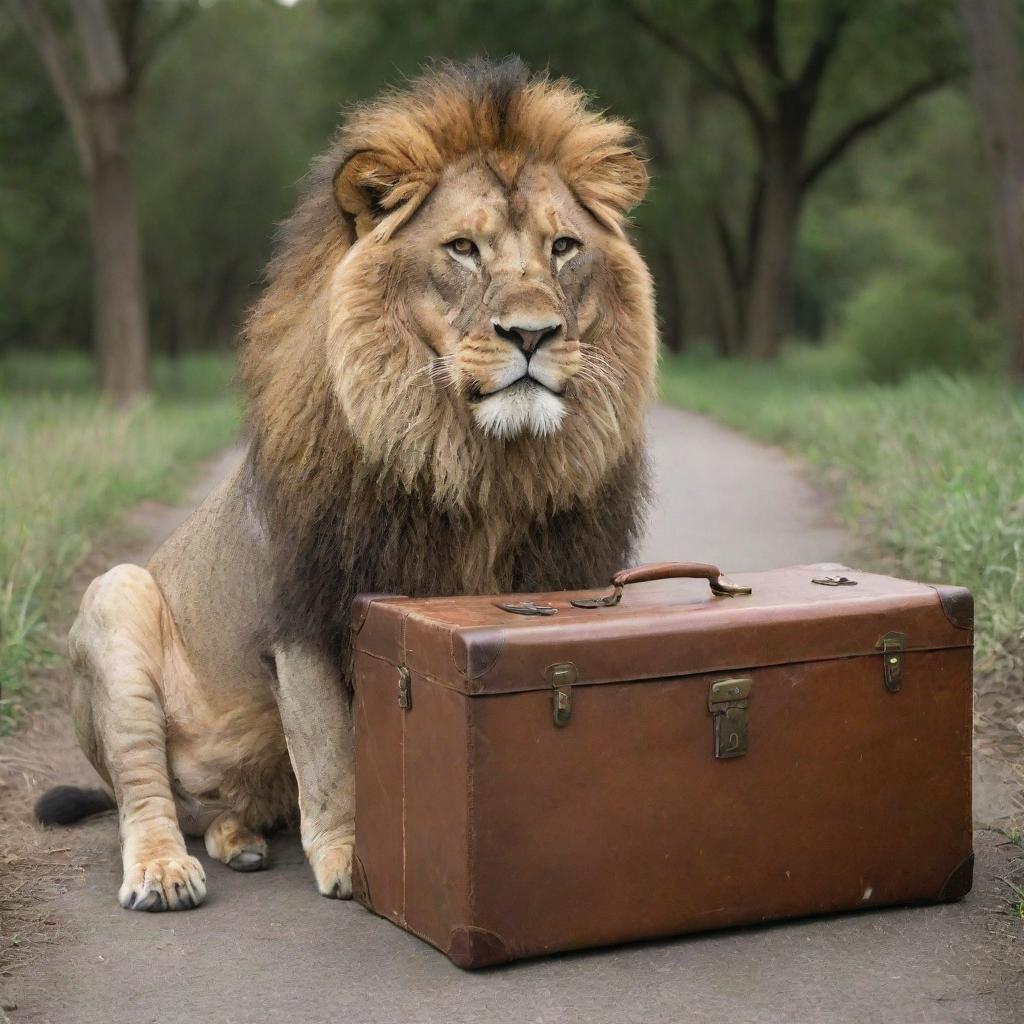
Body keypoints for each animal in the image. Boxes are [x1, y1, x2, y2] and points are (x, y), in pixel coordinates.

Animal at [36, 56, 655, 909]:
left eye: (564, 246)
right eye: (463, 248)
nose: (532, 334)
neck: (477, 463)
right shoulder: (302, 615)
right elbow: (332, 756)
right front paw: (353, 861)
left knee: (222, 807)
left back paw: (241, 841)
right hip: (116, 597)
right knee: (144, 793)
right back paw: (165, 871)